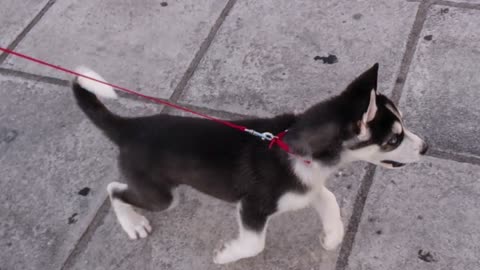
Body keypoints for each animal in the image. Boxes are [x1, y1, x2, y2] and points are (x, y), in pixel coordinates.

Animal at [72, 63, 428, 264]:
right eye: (394, 139)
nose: (426, 147)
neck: (294, 147)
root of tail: (129, 127)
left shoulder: (306, 187)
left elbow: (328, 198)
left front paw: (332, 236)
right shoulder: (253, 206)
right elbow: (255, 243)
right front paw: (226, 254)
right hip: (160, 195)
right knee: (114, 189)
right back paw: (133, 223)